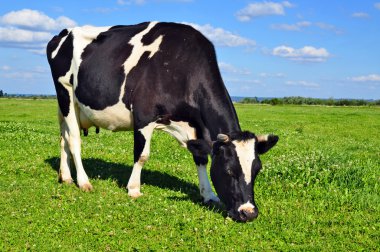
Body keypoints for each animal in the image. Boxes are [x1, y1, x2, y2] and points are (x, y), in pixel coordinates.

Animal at [47, 21, 280, 222]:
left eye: (257, 170)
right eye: (229, 170)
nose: (249, 213)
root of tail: (64, 33)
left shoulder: (196, 126)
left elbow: (200, 157)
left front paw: (208, 194)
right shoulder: (143, 116)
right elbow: (141, 155)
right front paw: (134, 189)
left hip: (67, 105)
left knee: (63, 137)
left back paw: (65, 176)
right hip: (65, 91)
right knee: (74, 139)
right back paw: (83, 181)